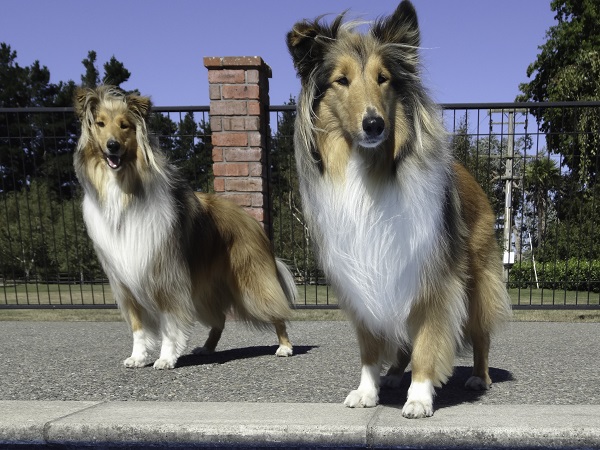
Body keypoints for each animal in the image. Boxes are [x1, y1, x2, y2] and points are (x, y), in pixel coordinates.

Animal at [74, 84, 294, 370]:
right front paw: (138, 356)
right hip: (204, 291)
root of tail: (251, 221)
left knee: (277, 311)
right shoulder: (125, 281)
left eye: (125, 126)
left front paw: (166, 358)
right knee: (220, 320)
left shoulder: (167, 277)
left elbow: (170, 323)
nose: (113, 146)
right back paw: (207, 348)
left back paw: (285, 346)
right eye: (100, 124)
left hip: (251, 284)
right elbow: (137, 326)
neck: (124, 193)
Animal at [288, 1, 512, 418]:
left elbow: (427, 342)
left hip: (476, 281)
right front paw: (367, 391)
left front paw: (420, 397)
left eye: (383, 78)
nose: (374, 124)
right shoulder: (362, 276)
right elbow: (370, 349)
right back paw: (393, 375)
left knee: (480, 334)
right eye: (341, 80)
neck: (369, 173)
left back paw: (479, 376)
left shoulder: (433, 278)